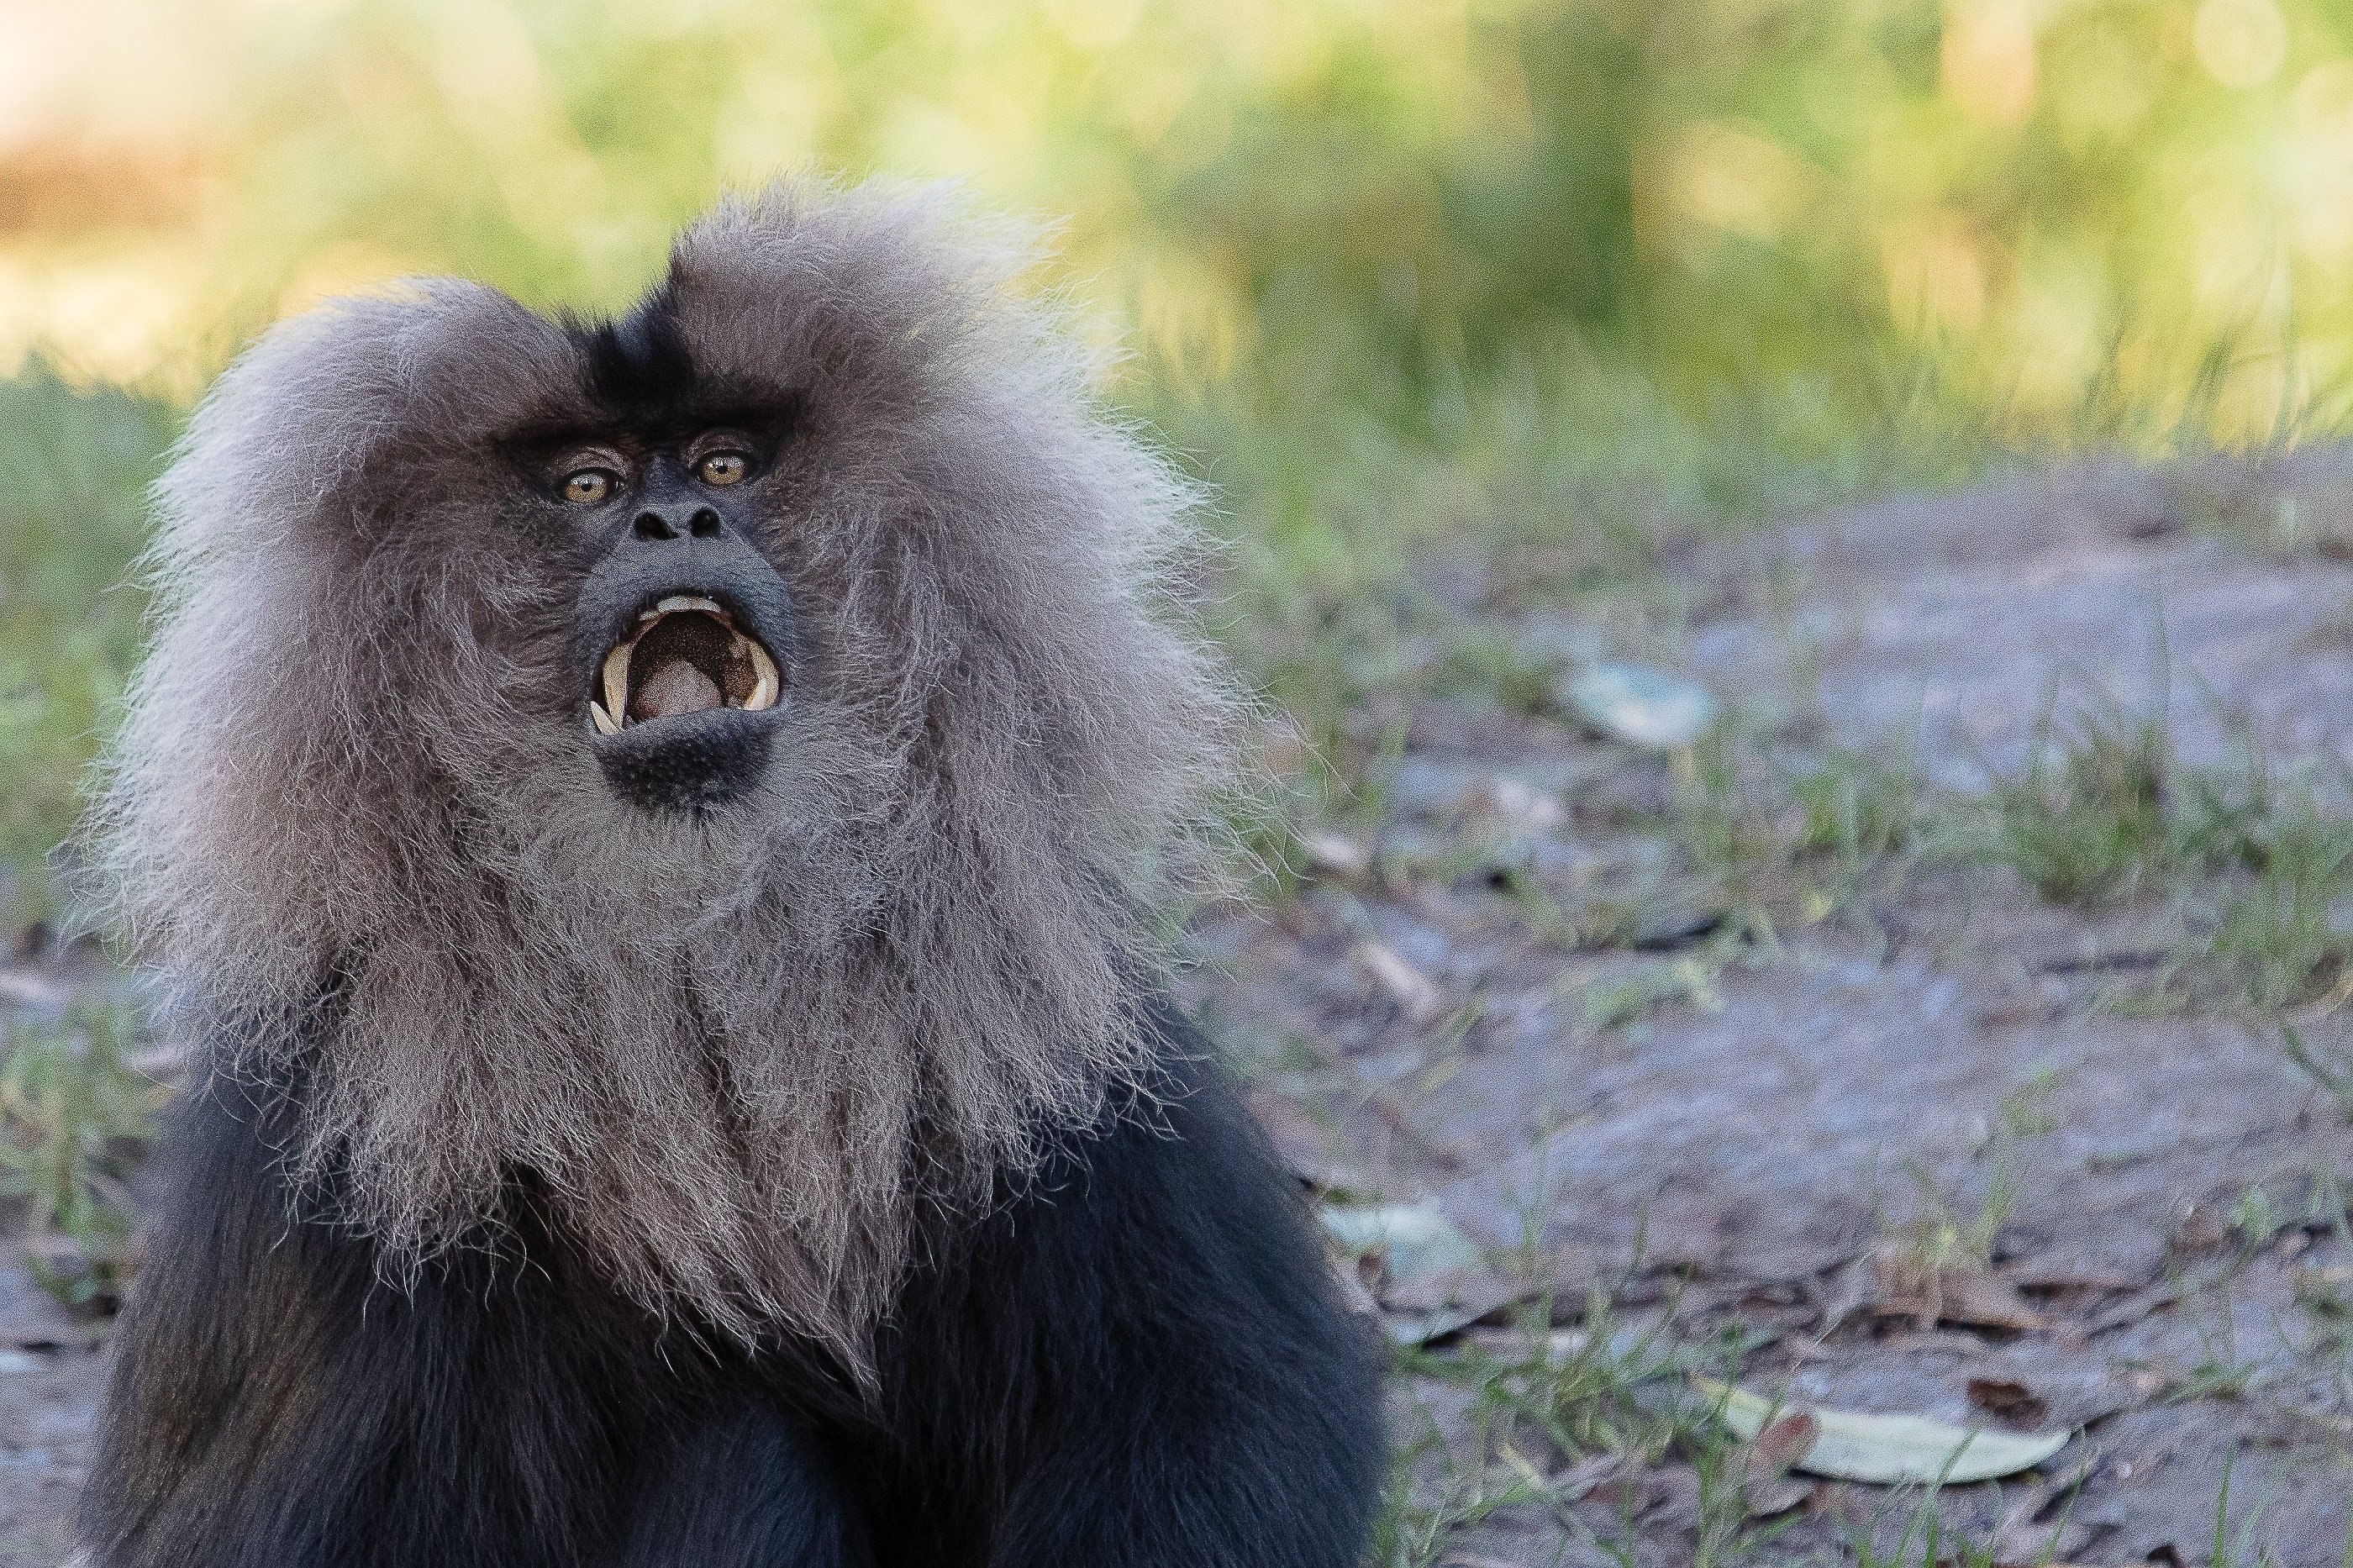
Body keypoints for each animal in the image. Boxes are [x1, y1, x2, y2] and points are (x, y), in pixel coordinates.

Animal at [78, 180, 1374, 1554]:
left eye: (722, 466)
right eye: (590, 484)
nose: (675, 520)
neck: (707, 957)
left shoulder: (1060, 1063)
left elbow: (1217, 1401)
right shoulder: (339, 1161)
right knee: (744, 1449)